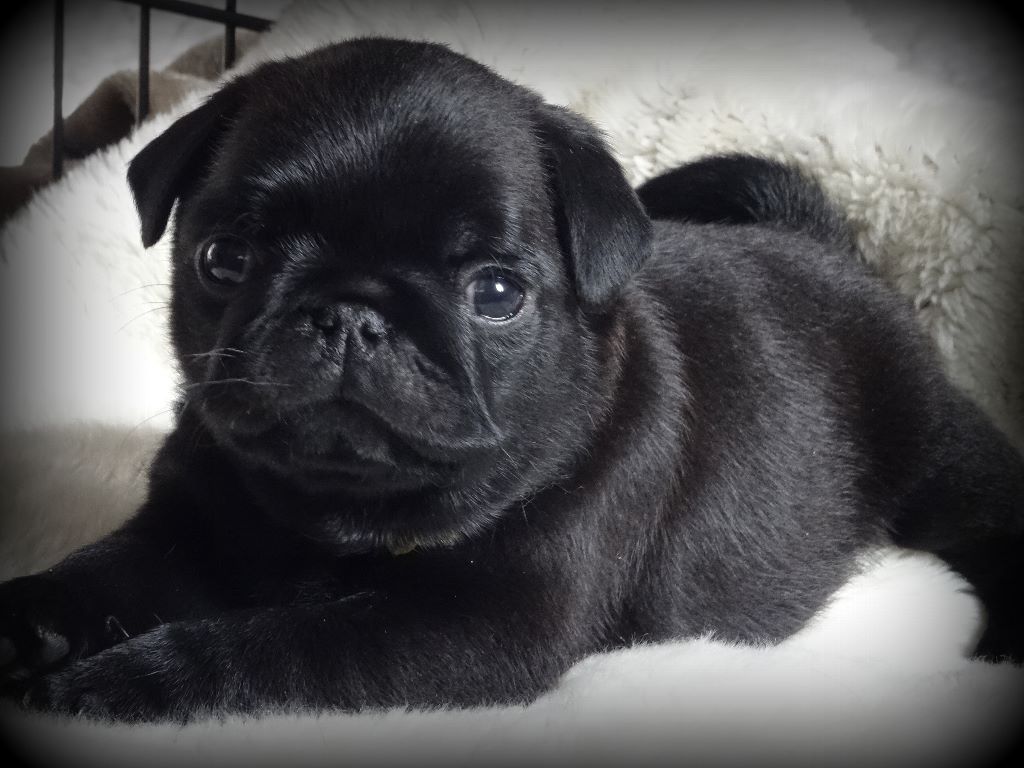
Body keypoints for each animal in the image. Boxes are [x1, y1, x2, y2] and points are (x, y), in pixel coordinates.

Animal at [0, 38, 1021, 723]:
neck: (334, 511)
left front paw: (125, 682)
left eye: (495, 293)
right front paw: (23, 621)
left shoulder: (471, 631)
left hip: (940, 457)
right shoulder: (188, 532)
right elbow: (100, 572)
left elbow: (274, 645)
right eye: (224, 258)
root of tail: (824, 241)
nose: (350, 314)